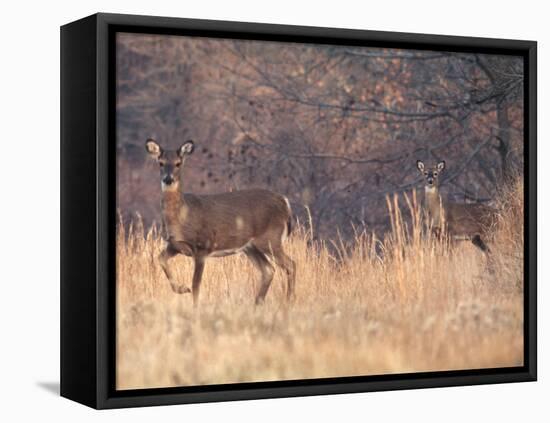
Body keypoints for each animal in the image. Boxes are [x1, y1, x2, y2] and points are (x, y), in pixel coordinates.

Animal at [144, 139, 296, 308]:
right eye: (161, 163)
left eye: (178, 163)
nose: (168, 179)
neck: (182, 217)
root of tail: (285, 202)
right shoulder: (175, 245)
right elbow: (160, 259)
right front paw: (182, 288)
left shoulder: (203, 246)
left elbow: (196, 284)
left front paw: (194, 306)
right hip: (250, 247)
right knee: (269, 269)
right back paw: (257, 303)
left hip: (270, 238)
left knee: (291, 265)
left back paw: (288, 302)